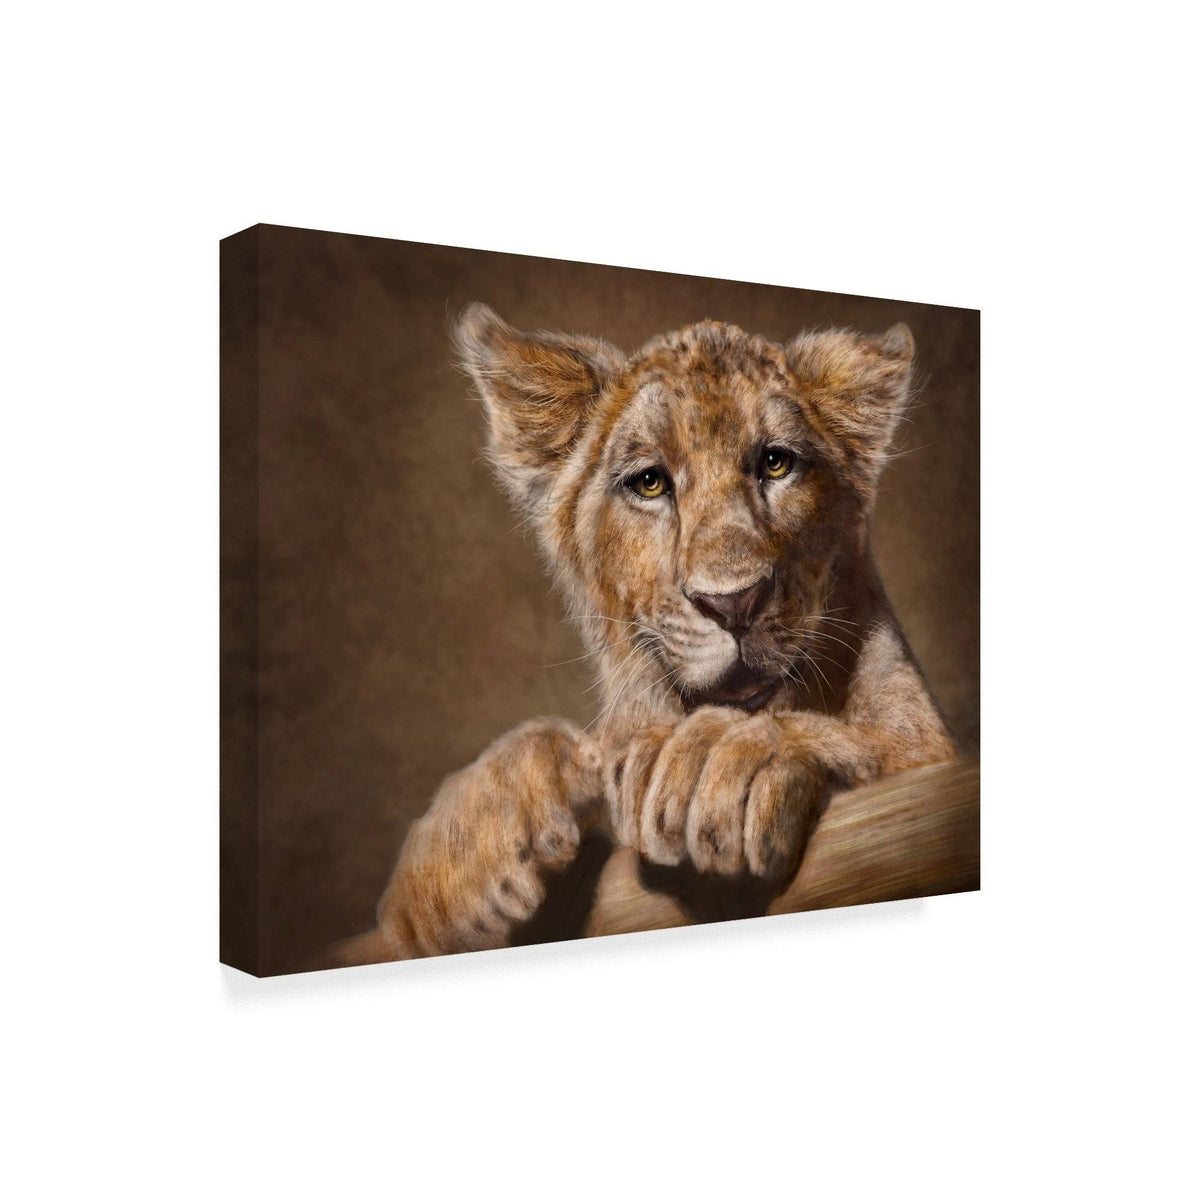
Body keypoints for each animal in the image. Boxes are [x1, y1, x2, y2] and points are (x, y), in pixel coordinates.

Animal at [375, 304, 956, 959]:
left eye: (776, 463)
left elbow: (885, 752)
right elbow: (544, 742)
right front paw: (460, 854)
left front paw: (719, 761)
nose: (733, 602)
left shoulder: (928, 754)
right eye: (649, 482)